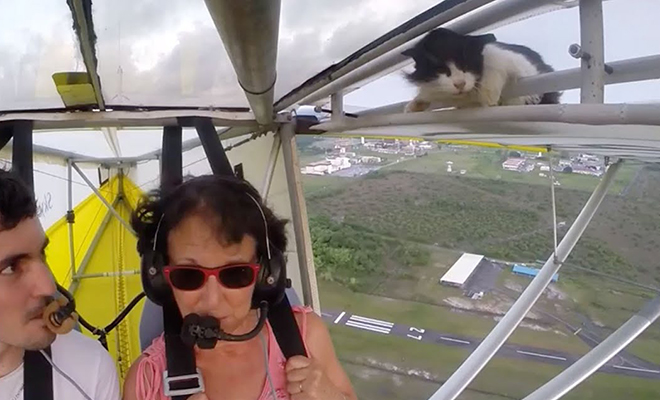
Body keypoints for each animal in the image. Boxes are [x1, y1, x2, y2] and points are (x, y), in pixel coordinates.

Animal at [400, 28, 560, 111]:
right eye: (440, 70)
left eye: (466, 65)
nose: (460, 84)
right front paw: (415, 104)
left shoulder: (521, 64)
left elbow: (493, 63)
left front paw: (488, 94)